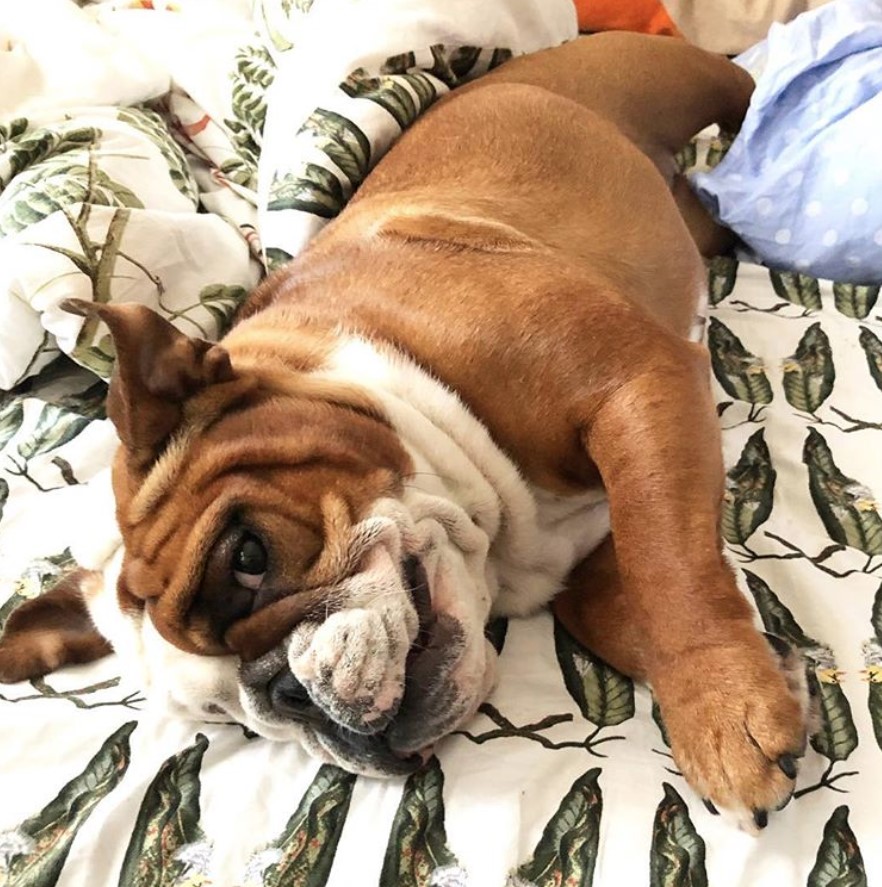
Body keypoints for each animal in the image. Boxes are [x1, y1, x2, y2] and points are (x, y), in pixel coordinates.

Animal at [0, 33, 804, 824]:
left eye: (248, 557)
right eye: (229, 720)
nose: (285, 692)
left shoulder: (635, 382)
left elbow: (666, 563)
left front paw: (720, 712)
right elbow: (618, 599)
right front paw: (763, 674)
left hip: (678, 76)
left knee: (743, 86)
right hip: (692, 219)